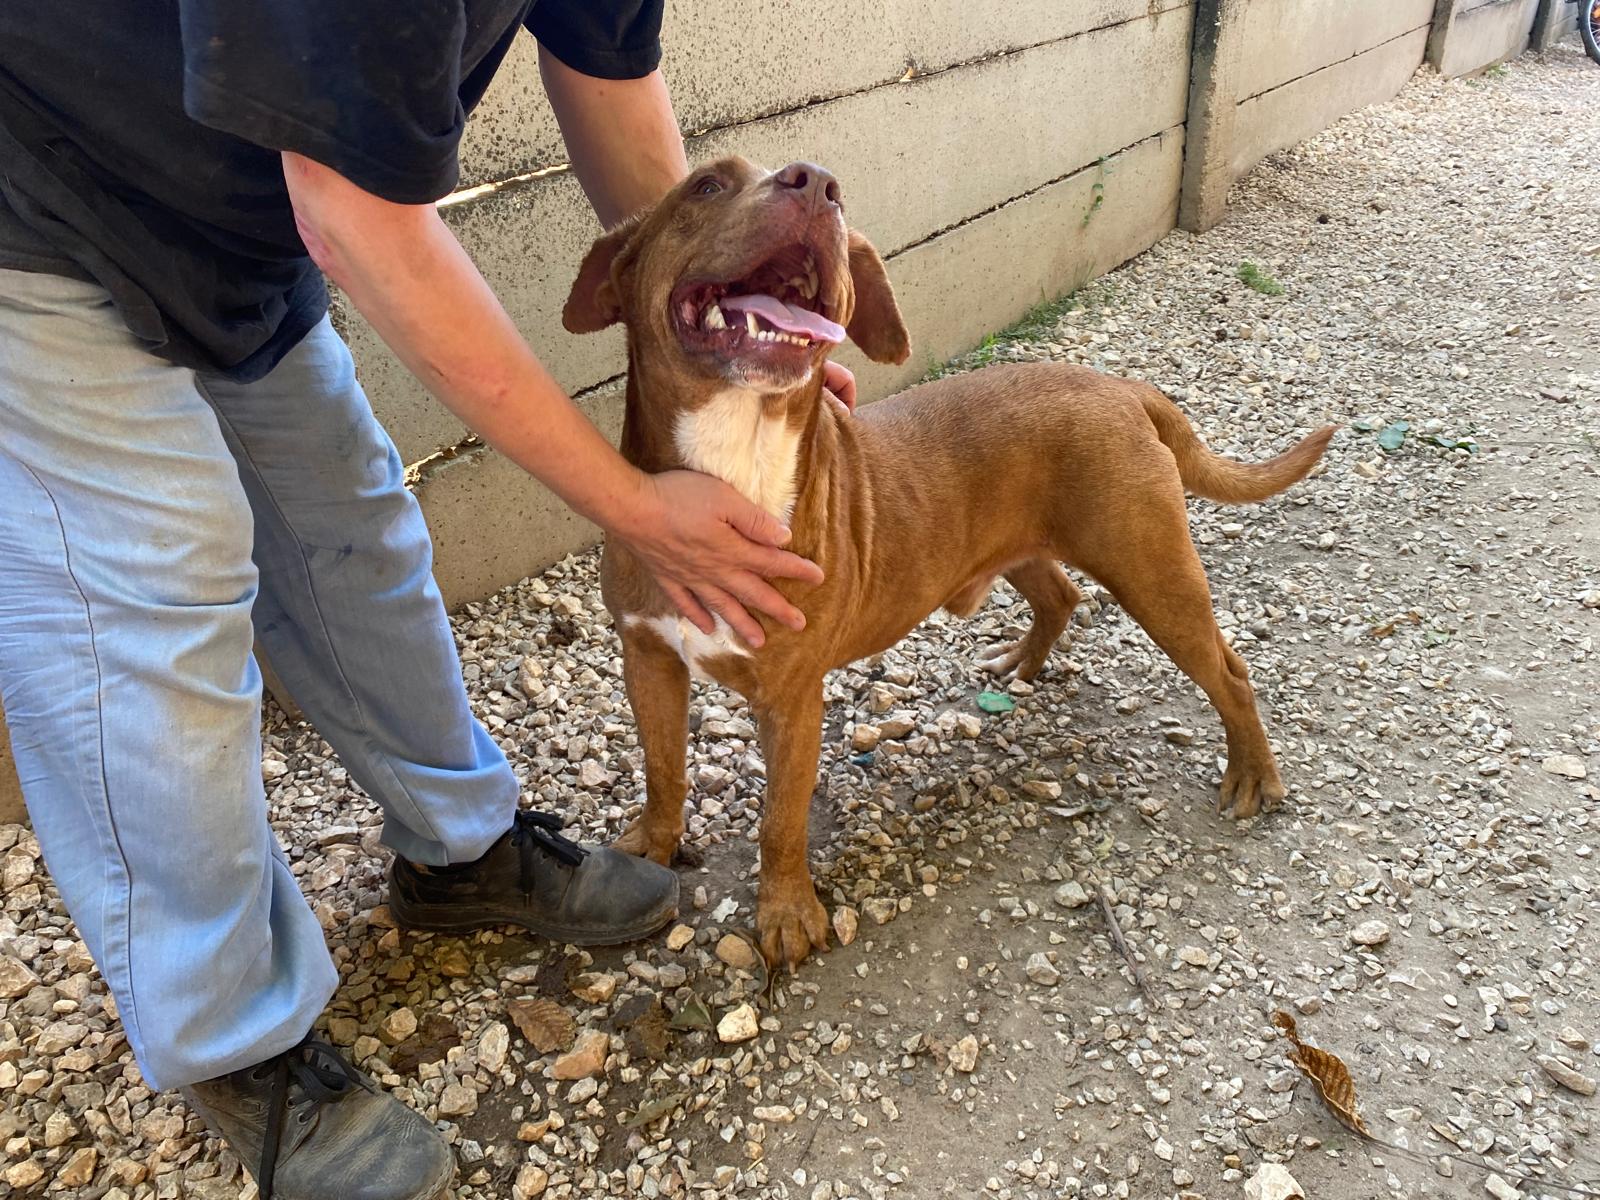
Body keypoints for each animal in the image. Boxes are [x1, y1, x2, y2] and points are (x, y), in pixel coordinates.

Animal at [562, 156, 1334, 967]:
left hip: (1152, 573)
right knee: (1061, 596)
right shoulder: (648, 657)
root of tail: (1122, 387)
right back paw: (1022, 662)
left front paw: (786, 911)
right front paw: (651, 846)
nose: (817, 183)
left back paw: (1252, 774)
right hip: (1028, 546)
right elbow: (663, 769)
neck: (737, 459)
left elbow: (780, 819)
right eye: (707, 186)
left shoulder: (792, 697)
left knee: (1230, 672)